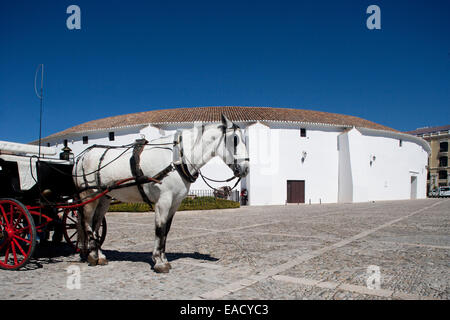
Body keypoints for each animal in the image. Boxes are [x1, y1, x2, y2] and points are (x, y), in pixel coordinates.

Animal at [74, 115, 250, 272]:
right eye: (235, 139)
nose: (246, 169)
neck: (177, 158)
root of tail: (81, 157)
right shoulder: (163, 201)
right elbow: (159, 228)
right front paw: (159, 262)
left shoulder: (175, 202)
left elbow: (166, 230)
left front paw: (163, 258)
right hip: (89, 195)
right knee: (87, 222)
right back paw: (92, 256)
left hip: (104, 198)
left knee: (96, 224)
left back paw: (100, 255)